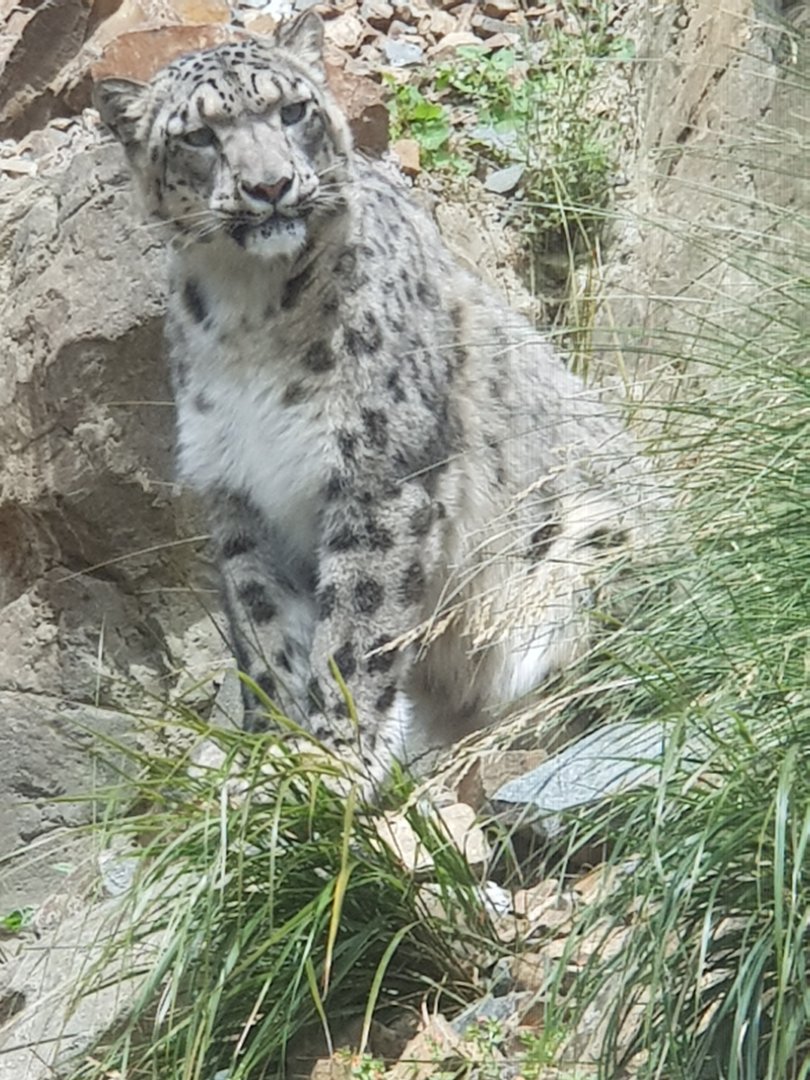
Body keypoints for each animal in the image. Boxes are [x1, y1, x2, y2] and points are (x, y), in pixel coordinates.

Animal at [93, 11, 660, 791]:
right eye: (200, 136)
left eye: (292, 111)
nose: (270, 186)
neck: (246, 311)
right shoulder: (236, 489)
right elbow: (267, 630)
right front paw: (272, 763)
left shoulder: (378, 471)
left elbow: (356, 623)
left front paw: (335, 759)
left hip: (598, 545)